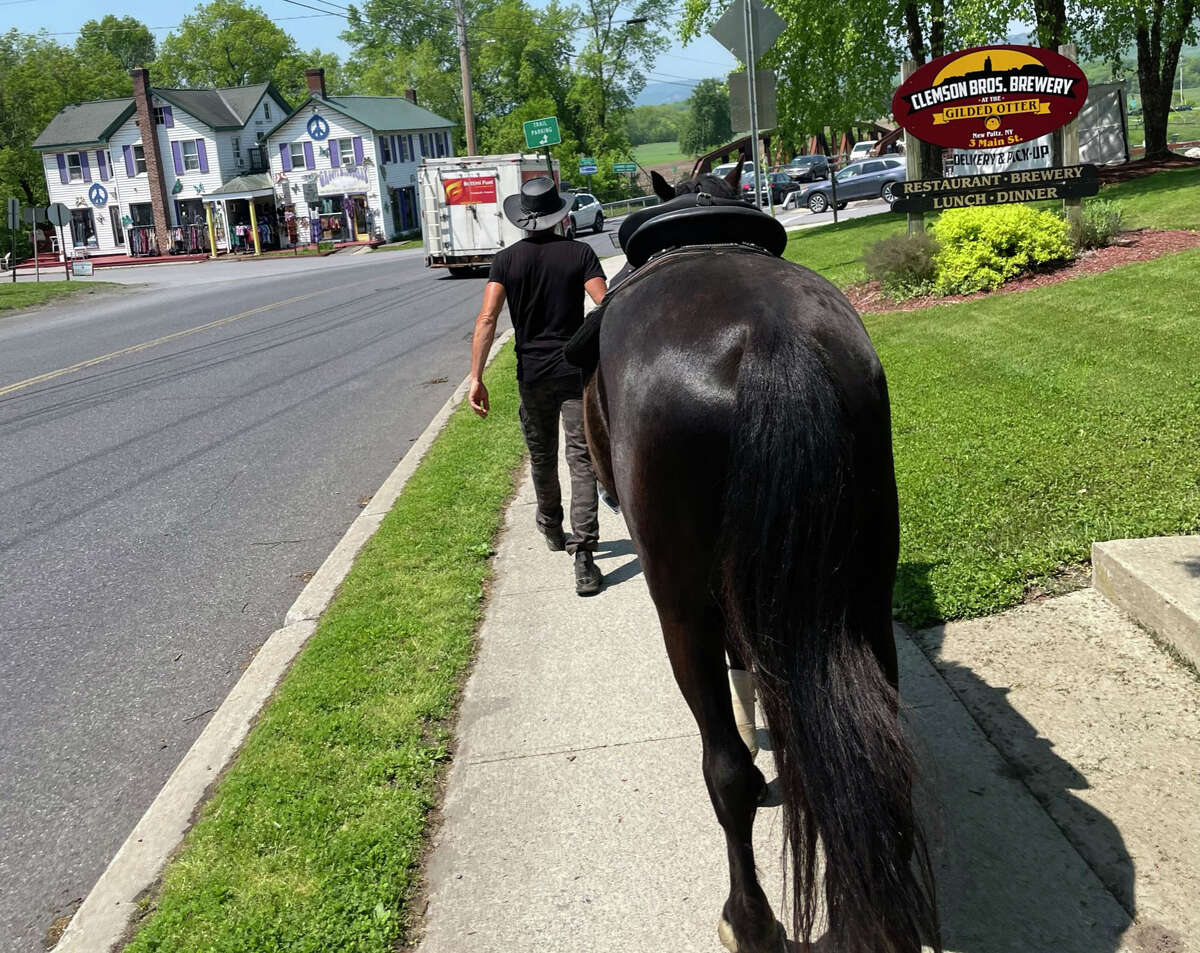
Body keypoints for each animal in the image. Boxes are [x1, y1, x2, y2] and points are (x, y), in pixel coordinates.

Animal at [585, 165, 940, 950]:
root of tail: (772, 341)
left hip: (682, 608)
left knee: (728, 774)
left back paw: (748, 920)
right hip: (862, 595)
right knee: (876, 754)